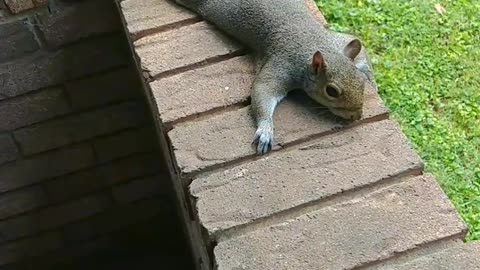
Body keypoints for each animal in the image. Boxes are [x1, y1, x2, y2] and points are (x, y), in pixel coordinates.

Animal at [174, 0, 374, 154]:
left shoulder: (338, 40)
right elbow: (263, 89)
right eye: (331, 91)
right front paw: (265, 130)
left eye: (360, 80)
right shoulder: (283, 63)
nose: (357, 116)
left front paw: (371, 77)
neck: (314, 44)